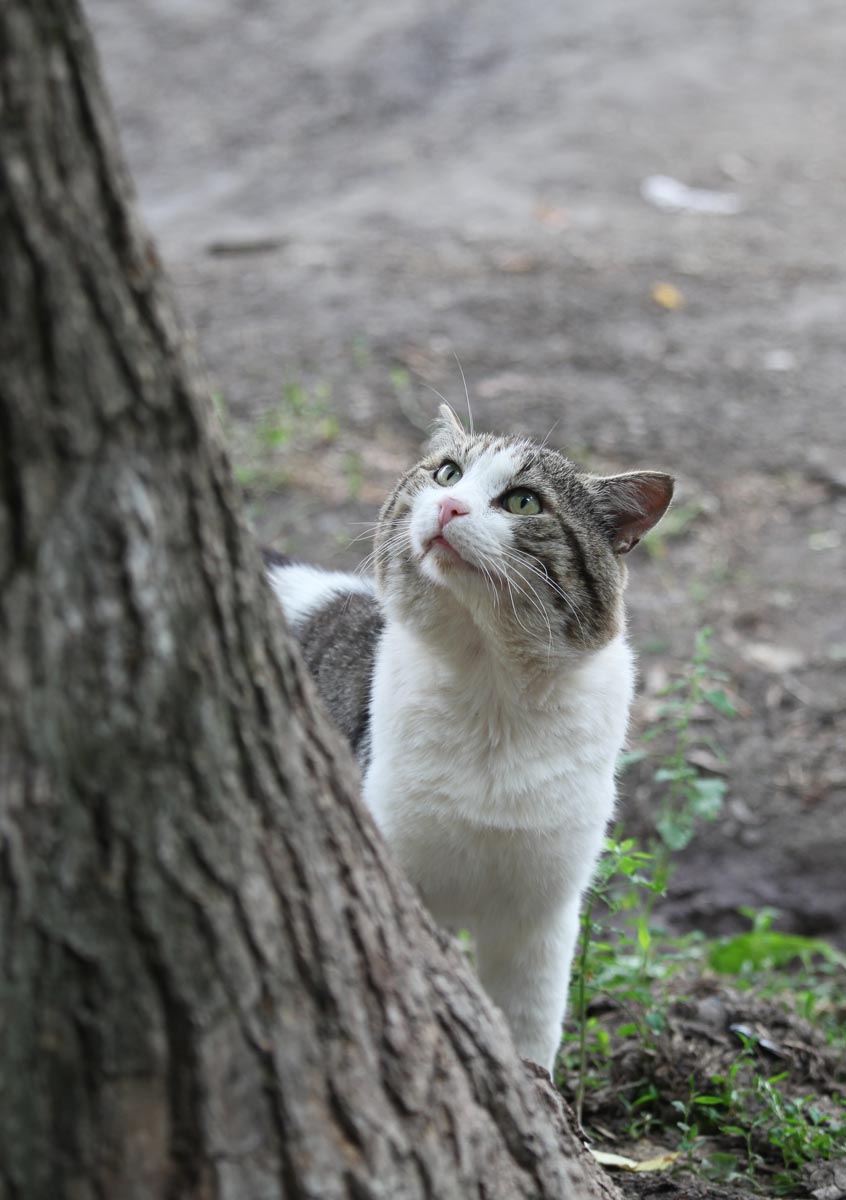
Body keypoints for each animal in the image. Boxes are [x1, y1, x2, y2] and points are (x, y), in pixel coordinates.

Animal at [265, 405, 672, 1070]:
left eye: (524, 502)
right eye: (448, 473)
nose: (450, 506)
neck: (493, 692)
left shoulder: (540, 913)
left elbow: (530, 1024)